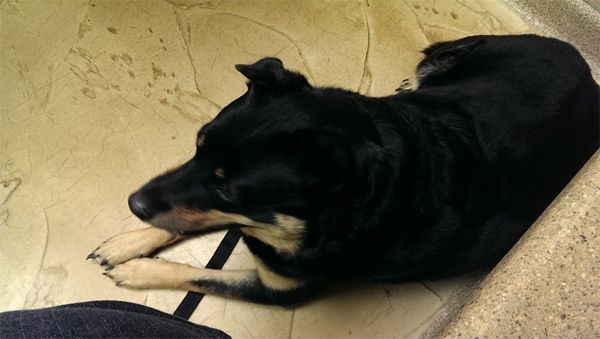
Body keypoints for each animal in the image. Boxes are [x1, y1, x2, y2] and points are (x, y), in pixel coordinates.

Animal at [88, 35, 596, 308]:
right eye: (197, 146)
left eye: (231, 192)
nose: (133, 204)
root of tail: (591, 77)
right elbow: (180, 214)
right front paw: (128, 243)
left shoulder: (283, 289)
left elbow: (202, 273)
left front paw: (137, 271)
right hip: (448, 56)